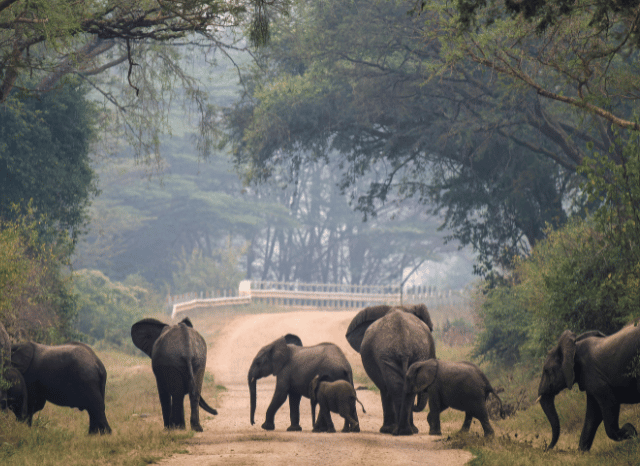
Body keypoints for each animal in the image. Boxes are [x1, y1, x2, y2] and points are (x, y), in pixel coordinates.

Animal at [345, 304, 436, 435]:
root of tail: (404, 346)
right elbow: (385, 389)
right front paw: (386, 430)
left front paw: (386, 430)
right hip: (392, 355)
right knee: (400, 388)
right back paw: (404, 431)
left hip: (404, 354)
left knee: (398, 388)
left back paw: (403, 430)